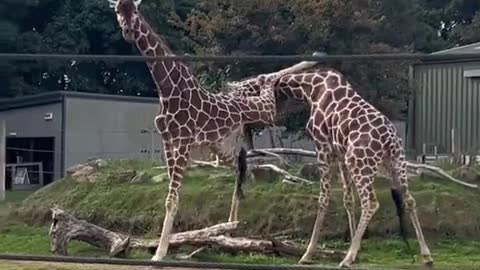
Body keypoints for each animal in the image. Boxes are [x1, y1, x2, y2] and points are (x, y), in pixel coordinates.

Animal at [107, 0, 318, 262]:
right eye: (118, 11)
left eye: (134, 11)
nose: (127, 31)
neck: (167, 90)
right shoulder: (168, 141)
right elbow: (171, 197)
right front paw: (164, 247)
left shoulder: (183, 141)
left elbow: (171, 200)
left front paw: (160, 253)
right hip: (222, 146)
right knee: (241, 167)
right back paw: (230, 227)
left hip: (260, 113)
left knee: (265, 86)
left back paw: (309, 61)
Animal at [268, 68, 434, 266]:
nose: (273, 120)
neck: (312, 89)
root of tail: (390, 140)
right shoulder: (340, 155)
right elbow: (348, 200)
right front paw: (357, 248)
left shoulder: (324, 148)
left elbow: (323, 199)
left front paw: (308, 254)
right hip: (395, 164)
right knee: (409, 200)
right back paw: (426, 255)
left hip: (359, 163)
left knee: (371, 203)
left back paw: (347, 258)